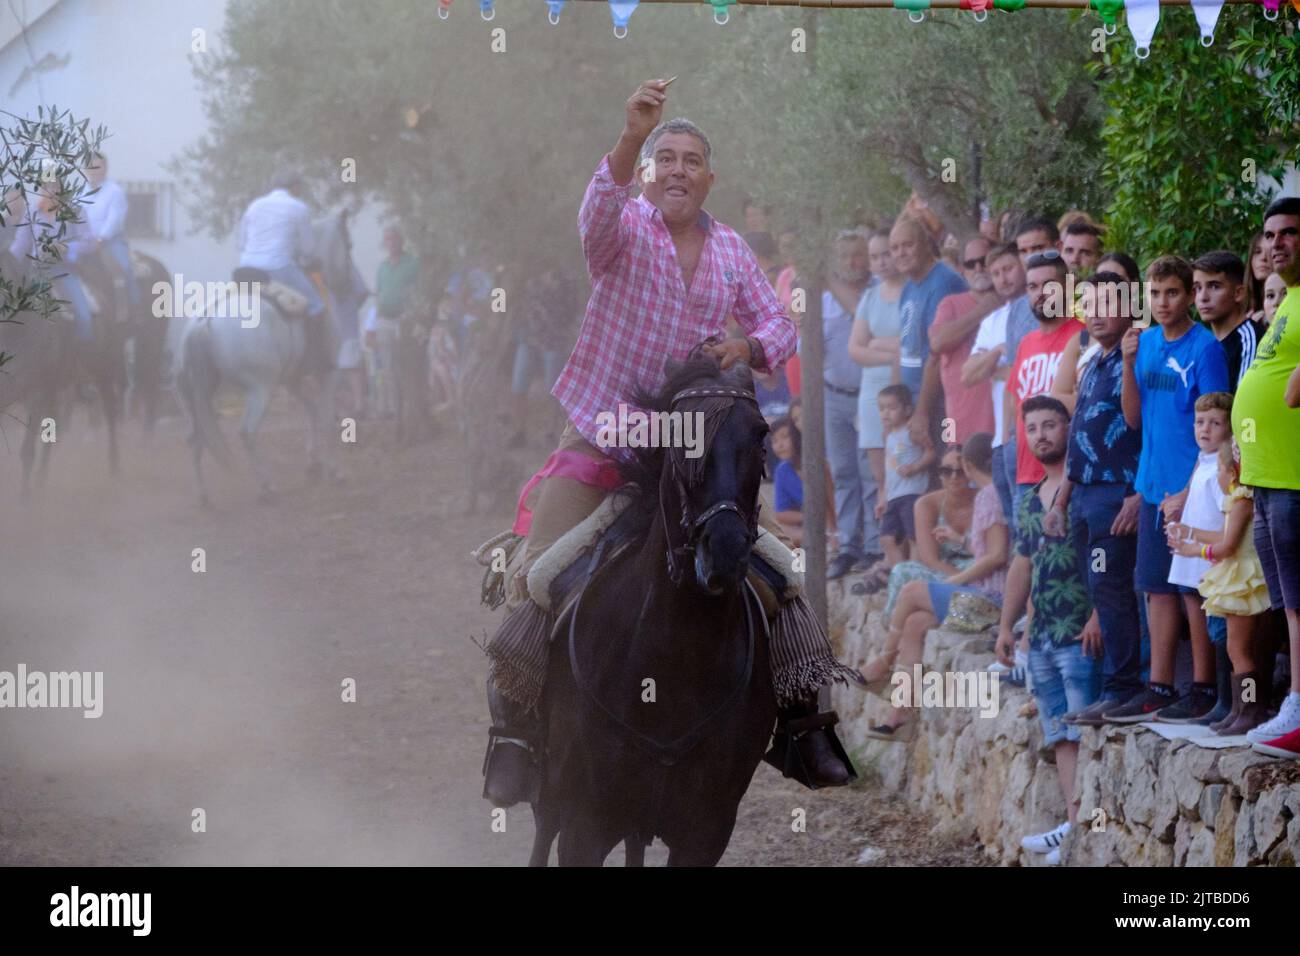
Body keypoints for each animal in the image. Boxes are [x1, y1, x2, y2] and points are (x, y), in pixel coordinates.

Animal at [530, 353, 774, 868]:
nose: (725, 550)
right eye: (677, 435)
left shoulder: (706, 830)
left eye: (761, 434)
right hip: (553, 790)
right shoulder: (585, 821)